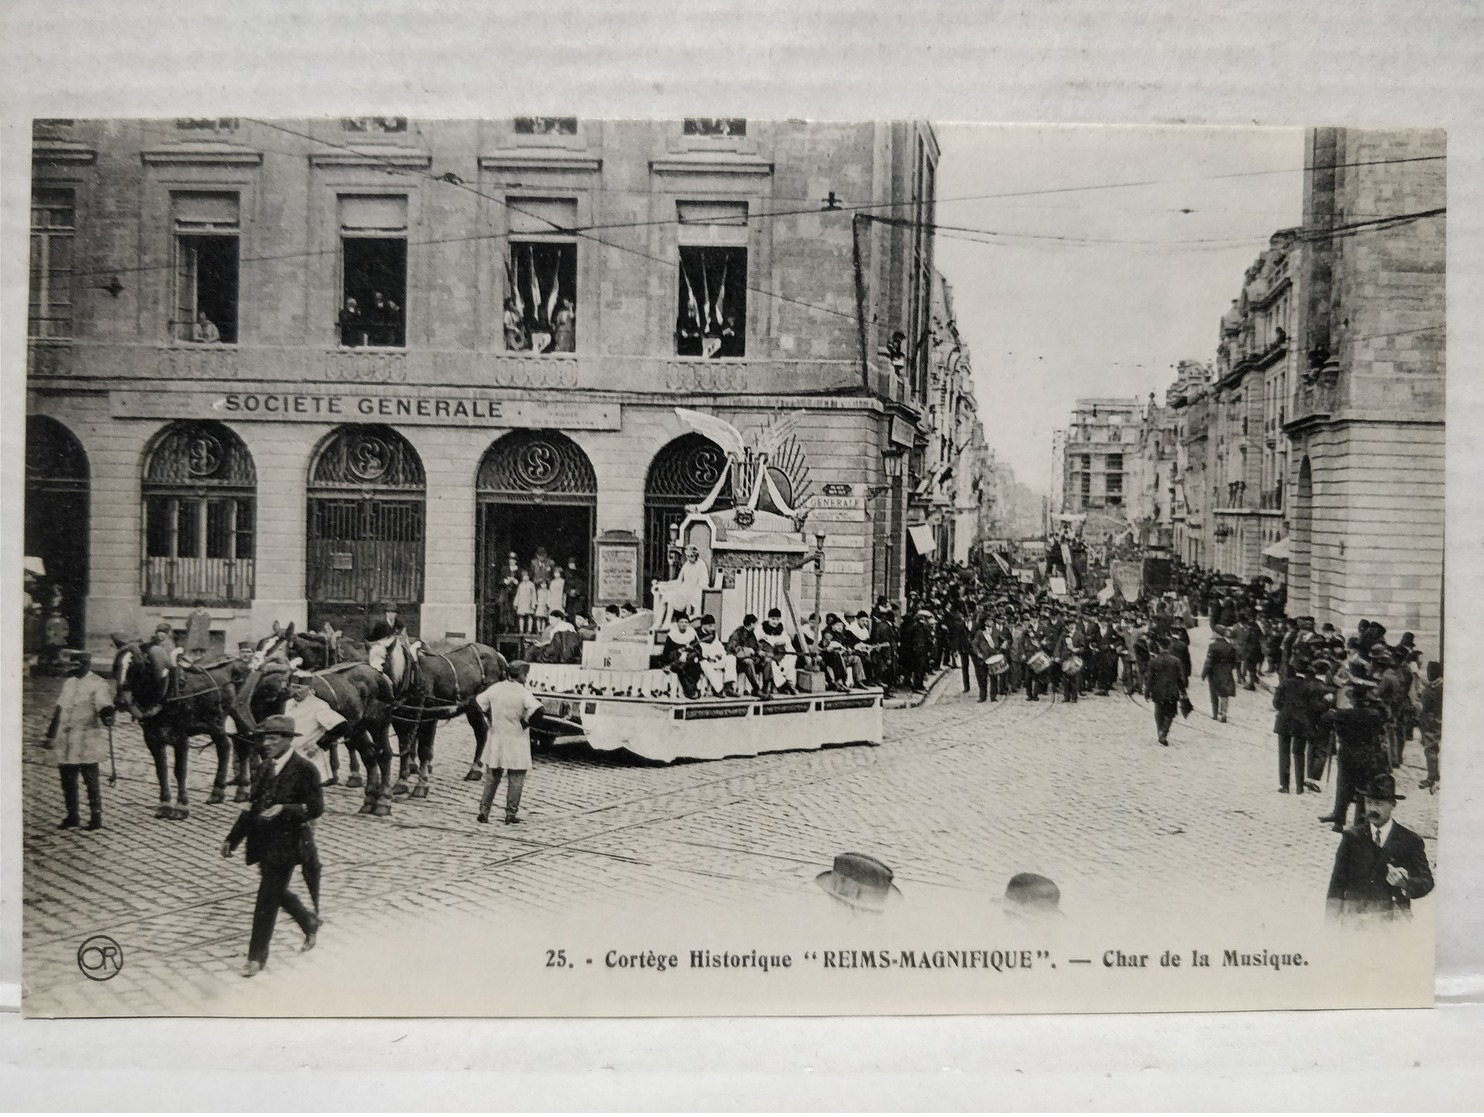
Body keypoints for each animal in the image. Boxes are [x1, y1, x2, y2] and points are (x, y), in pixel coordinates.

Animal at [111, 640, 252, 812]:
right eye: (116, 666)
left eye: (135, 666)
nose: (120, 701)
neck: (167, 690)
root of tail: (242, 662)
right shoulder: (152, 739)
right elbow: (161, 770)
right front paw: (164, 804)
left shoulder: (181, 738)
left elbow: (180, 770)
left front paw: (181, 806)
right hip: (216, 723)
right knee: (225, 747)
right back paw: (218, 792)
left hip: (239, 718)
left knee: (243, 747)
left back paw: (242, 789)